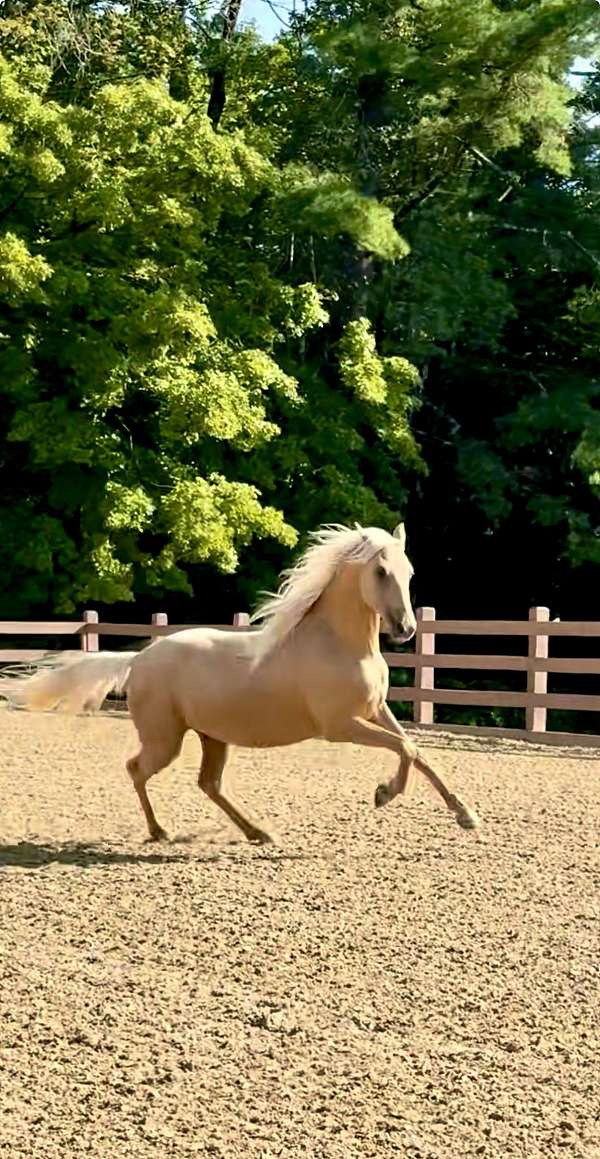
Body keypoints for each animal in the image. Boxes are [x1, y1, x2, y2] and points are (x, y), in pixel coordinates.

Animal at [1, 523, 479, 842]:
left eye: (409, 571)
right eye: (380, 572)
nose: (406, 630)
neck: (341, 645)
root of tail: (139, 658)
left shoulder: (376, 710)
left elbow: (417, 751)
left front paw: (466, 815)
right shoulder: (341, 726)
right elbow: (406, 750)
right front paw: (384, 794)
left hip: (213, 736)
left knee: (208, 784)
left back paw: (257, 832)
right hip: (165, 739)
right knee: (136, 768)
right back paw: (161, 831)